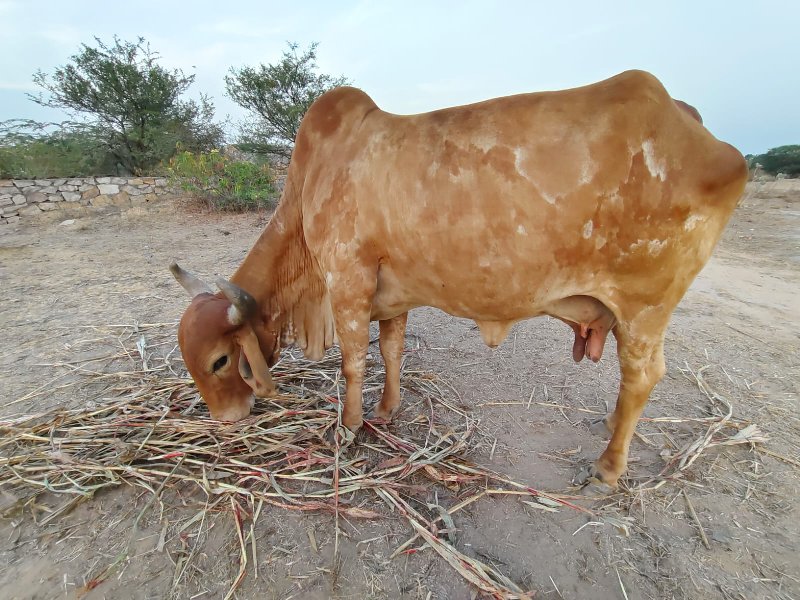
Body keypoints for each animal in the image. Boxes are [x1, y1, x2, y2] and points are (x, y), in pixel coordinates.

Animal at [170, 72, 752, 490]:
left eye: (219, 361)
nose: (227, 419)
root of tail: (693, 125)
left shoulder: (347, 280)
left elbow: (354, 362)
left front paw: (351, 426)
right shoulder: (392, 294)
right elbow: (392, 351)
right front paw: (387, 411)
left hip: (644, 308)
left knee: (642, 377)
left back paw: (609, 468)